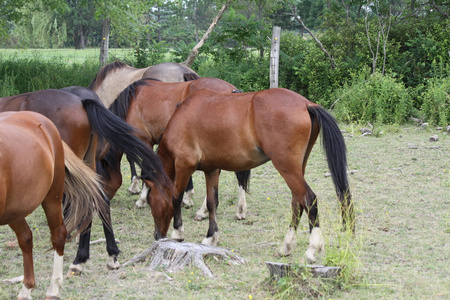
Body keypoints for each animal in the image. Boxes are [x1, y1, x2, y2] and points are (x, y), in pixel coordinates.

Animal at [0, 110, 106, 300]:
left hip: (52, 197)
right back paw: (27, 288)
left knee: (58, 234)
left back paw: (54, 287)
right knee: (26, 238)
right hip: (16, 209)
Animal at [107, 76, 251, 219]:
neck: (131, 101)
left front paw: (141, 199)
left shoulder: (144, 141)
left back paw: (203, 211)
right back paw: (240, 210)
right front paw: (186, 198)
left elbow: (145, 167)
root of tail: (232, 90)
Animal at [148, 86, 356, 262]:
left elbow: (176, 197)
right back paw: (286, 247)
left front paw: (177, 233)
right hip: (297, 168)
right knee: (297, 203)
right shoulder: (212, 169)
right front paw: (210, 237)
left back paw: (312, 249)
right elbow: (212, 202)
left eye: (150, 200)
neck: (182, 117)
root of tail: (306, 103)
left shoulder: (184, 165)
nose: (157, 236)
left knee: (309, 199)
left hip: (287, 167)